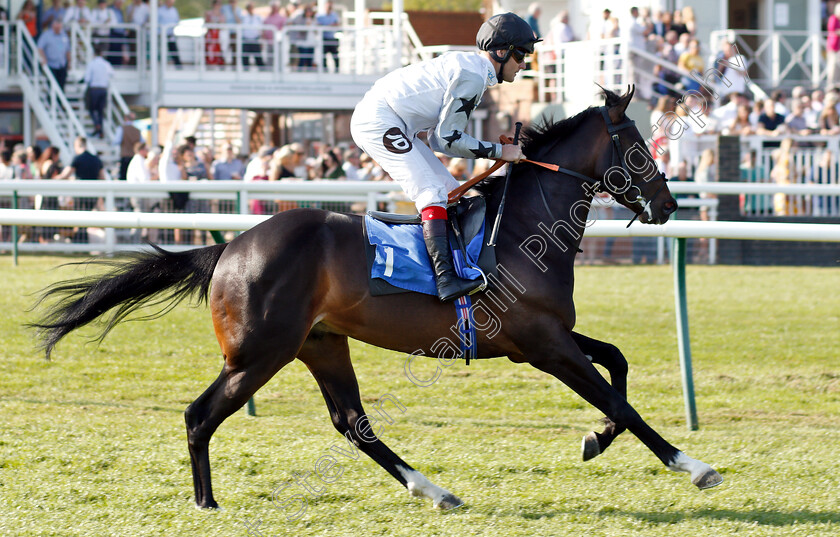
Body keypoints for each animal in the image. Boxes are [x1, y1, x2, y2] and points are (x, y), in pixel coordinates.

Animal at [32, 88, 720, 510]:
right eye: (638, 146)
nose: (668, 204)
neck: (523, 227)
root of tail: (229, 249)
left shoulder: (544, 336)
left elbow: (619, 365)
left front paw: (596, 439)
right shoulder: (542, 346)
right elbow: (620, 400)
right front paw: (690, 464)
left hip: (321, 344)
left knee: (352, 424)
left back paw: (434, 490)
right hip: (259, 353)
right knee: (201, 415)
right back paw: (206, 502)